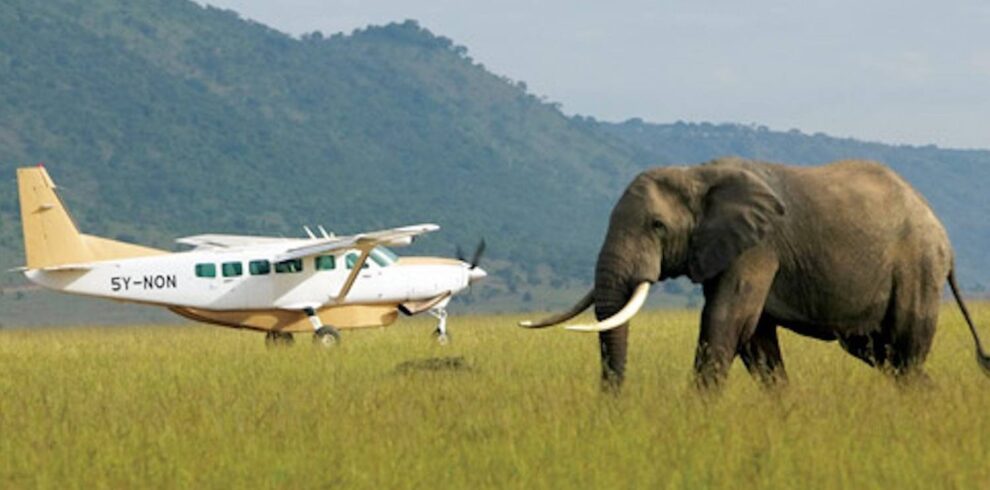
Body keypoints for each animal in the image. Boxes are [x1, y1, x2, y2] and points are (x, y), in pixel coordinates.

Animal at [521, 157, 990, 389]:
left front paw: (695, 418)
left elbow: (726, 321)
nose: (613, 407)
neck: (697, 174)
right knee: (882, 354)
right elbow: (755, 338)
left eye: (656, 226)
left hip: (917, 267)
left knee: (904, 351)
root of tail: (944, 237)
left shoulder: (758, 246)